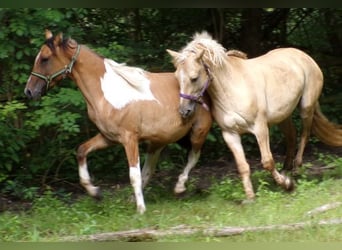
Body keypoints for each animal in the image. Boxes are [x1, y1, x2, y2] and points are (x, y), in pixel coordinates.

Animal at [23, 29, 211, 213]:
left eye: (45, 59)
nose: (29, 91)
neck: (107, 92)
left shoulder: (130, 139)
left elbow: (133, 174)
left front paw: (141, 210)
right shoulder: (109, 137)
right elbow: (82, 151)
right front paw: (95, 193)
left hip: (197, 133)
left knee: (193, 156)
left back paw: (179, 188)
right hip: (159, 141)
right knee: (150, 168)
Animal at [168, 31, 342, 202]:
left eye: (194, 77)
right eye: (176, 77)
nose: (184, 111)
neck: (232, 89)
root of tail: (304, 56)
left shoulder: (260, 128)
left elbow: (267, 162)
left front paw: (287, 185)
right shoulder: (230, 134)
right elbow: (242, 166)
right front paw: (250, 197)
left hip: (306, 107)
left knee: (305, 134)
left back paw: (295, 169)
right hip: (283, 116)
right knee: (291, 136)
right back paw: (286, 170)